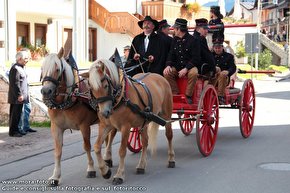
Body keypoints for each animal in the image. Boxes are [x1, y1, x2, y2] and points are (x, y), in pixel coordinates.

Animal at [40, 47, 112, 185]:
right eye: (42, 68)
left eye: (57, 69)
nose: (46, 91)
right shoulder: (56, 127)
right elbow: (58, 151)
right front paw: (55, 176)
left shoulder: (84, 126)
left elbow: (87, 147)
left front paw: (91, 169)